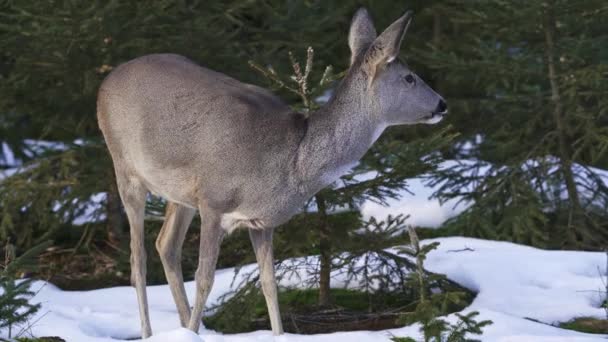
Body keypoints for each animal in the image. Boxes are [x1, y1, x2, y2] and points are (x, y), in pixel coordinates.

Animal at [96, 7, 446, 336]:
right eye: (410, 77)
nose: (442, 104)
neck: (291, 160)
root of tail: (105, 83)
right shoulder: (213, 200)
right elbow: (205, 278)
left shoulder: (261, 221)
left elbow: (269, 284)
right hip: (125, 169)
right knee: (138, 259)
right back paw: (152, 330)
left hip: (180, 194)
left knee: (166, 245)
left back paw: (186, 326)